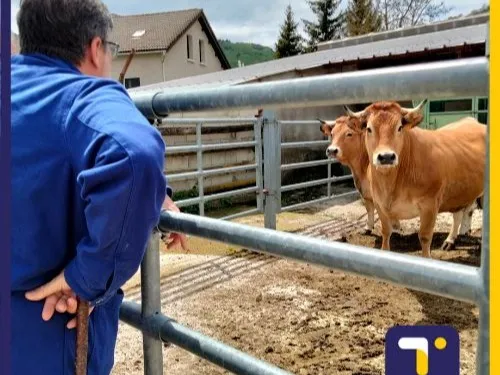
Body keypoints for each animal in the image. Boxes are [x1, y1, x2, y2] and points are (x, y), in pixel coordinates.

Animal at [344, 100, 484, 258]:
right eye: (369, 129)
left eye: (399, 127)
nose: (386, 157)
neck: (391, 184)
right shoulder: (379, 204)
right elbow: (386, 233)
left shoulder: (430, 205)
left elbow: (424, 237)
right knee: (459, 214)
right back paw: (450, 240)